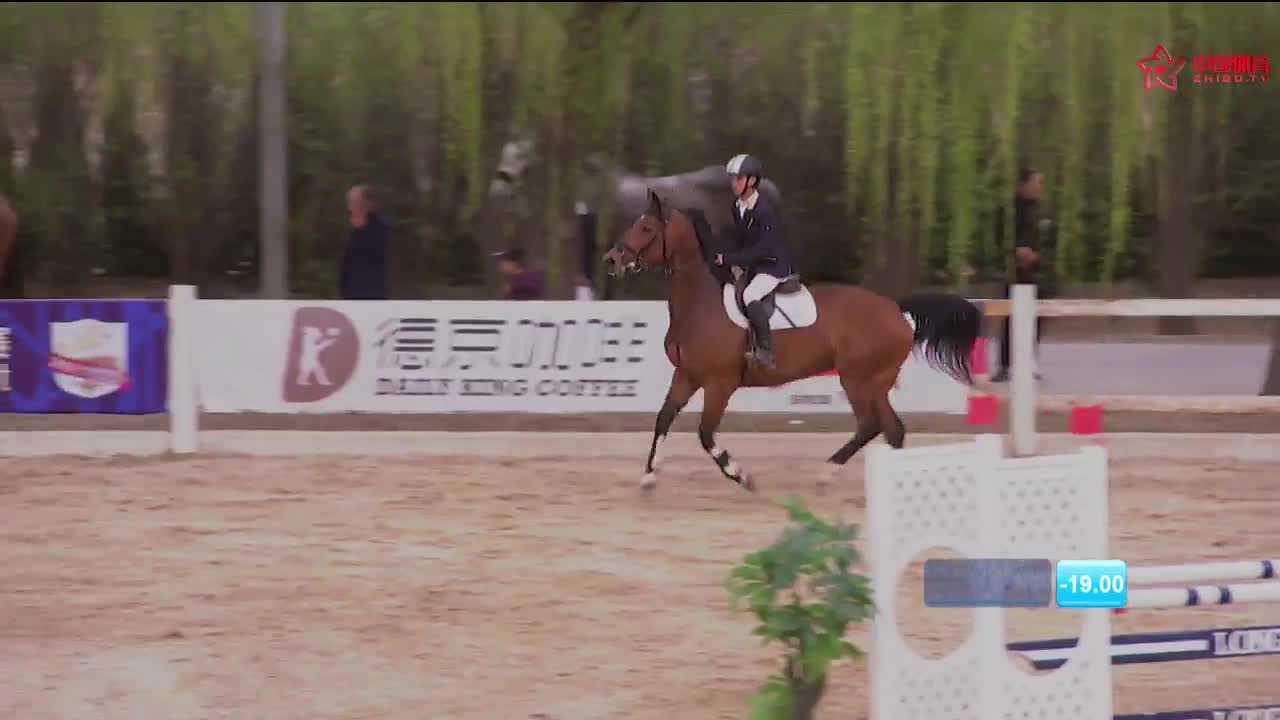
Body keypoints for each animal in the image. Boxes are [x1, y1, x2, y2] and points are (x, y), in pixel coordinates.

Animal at [602, 188, 982, 494]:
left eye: (647, 229)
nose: (611, 259)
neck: (699, 303)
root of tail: (895, 309)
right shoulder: (687, 375)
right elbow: (663, 418)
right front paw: (648, 477)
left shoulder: (719, 383)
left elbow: (705, 433)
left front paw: (741, 475)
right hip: (875, 382)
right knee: (891, 430)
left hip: (858, 379)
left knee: (871, 425)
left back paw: (827, 475)